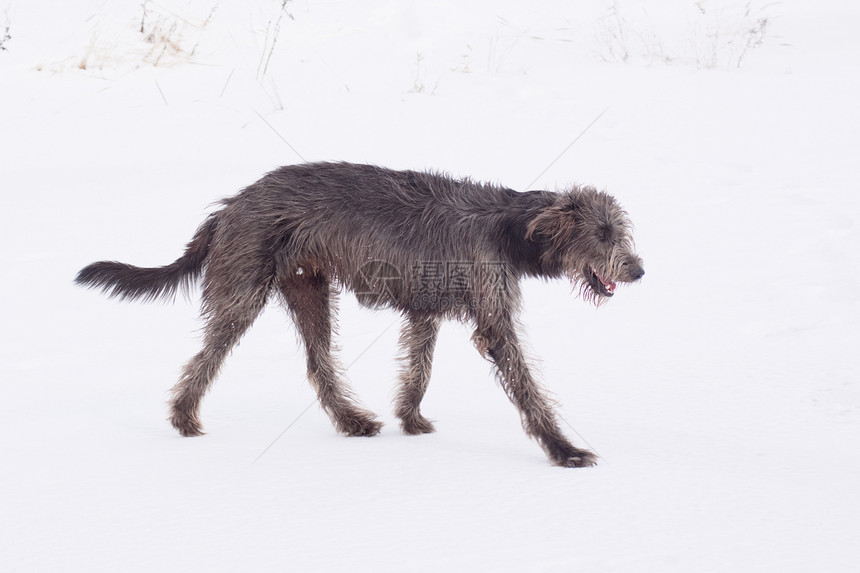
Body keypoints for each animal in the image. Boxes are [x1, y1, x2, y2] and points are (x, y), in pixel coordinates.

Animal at [77, 161, 640, 464]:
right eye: (603, 234)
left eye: (620, 231)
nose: (638, 271)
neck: (510, 227)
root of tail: (232, 204)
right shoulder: (493, 320)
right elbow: (526, 387)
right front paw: (564, 450)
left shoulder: (424, 311)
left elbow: (418, 369)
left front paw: (410, 419)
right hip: (244, 292)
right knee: (207, 356)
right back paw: (183, 419)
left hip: (308, 290)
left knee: (317, 363)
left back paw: (351, 421)